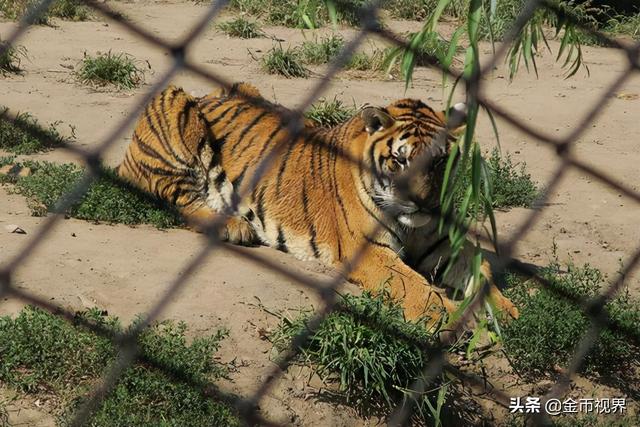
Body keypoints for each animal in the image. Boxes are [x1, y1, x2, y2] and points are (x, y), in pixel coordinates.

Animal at [119, 83, 520, 324]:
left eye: (439, 163)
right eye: (400, 160)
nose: (423, 205)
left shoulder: (443, 244)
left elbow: (481, 270)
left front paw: (507, 314)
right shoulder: (370, 252)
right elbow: (418, 288)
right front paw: (455, 321)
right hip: (174, 102)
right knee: (176, 195)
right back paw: (235, 226)